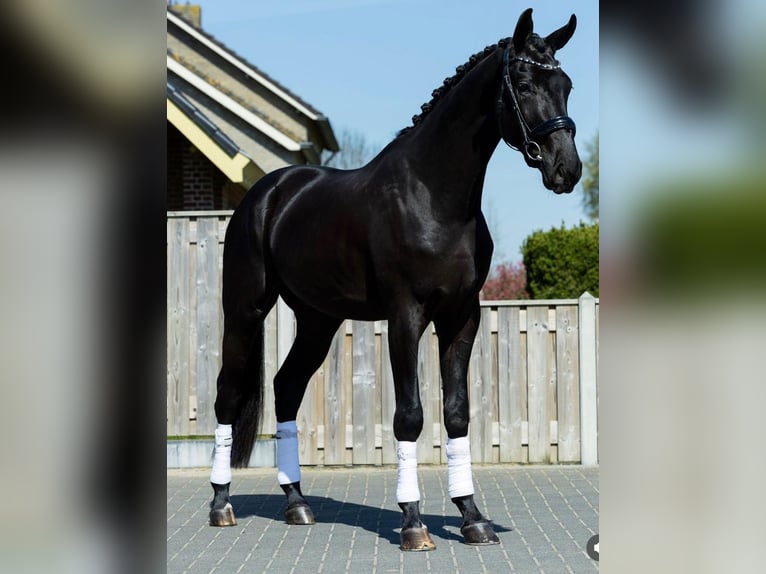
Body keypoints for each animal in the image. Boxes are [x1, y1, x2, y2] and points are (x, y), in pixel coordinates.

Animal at [207, 8, 582, 551]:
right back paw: (221, 505)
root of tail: (268, 193)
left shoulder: (461, 317)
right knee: (227, 394)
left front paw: (472, 517)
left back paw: (297, 504)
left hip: (317, 321)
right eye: (527, 83)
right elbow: (410, 416)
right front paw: (413, 523)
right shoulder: (407, 315)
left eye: (566, 85)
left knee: (286, 387)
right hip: (244, 311)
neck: (434, 194)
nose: (566, 169)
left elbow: (456, 413)